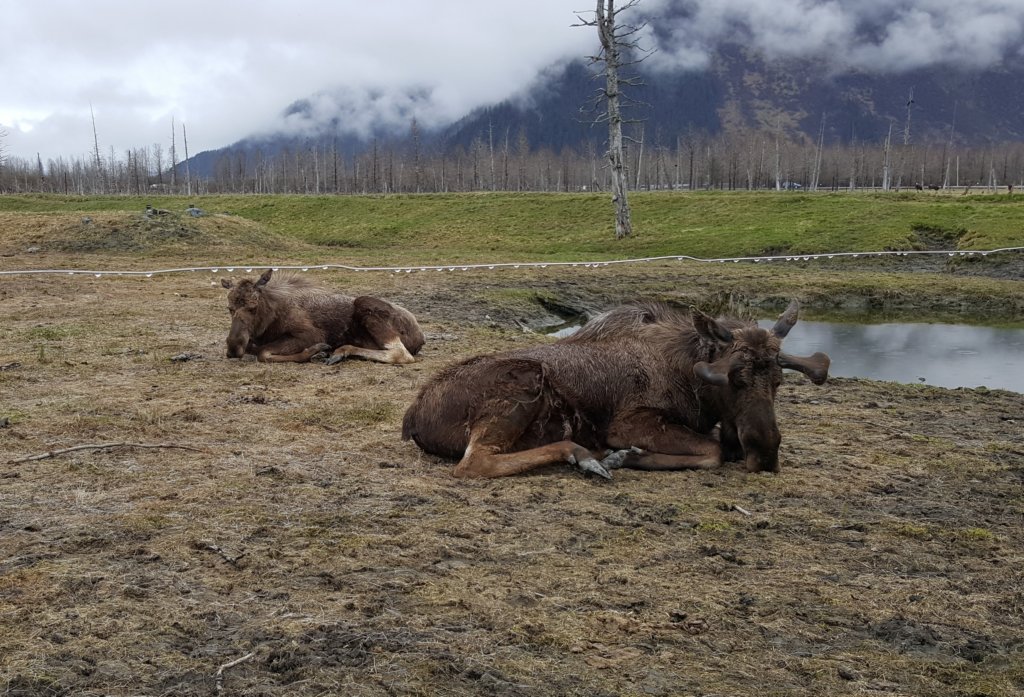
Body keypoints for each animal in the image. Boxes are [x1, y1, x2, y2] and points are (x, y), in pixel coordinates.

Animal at [220, 268, 423, 364]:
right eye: (229, 308)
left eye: (253, 307)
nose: (233, 348)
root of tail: (421, 337)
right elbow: (256, 349)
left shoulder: (310, 334)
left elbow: (263, 353)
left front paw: (316, 351)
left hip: (365, 304)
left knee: (401, 354)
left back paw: (340, 351)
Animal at [401, 298, 831, 478]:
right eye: (734, 378)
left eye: (778, 380)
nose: (766, 453)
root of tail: (412, 418)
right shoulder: (629, 422)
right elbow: (713, 452)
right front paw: (627, 457)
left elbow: (719, 445)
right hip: (524, 380)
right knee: (474, 463)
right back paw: (585, 455)